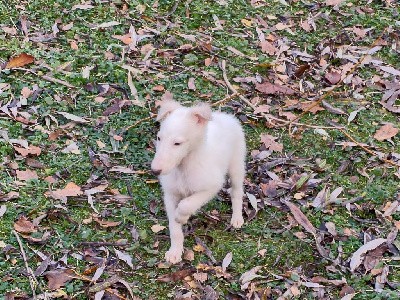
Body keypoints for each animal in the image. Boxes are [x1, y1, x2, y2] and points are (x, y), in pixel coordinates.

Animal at [152, 100, 245, 262]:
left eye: (177, 143)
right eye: (159, 138)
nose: (155, 170)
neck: (183, 168)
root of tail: (226, 117)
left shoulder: (212, 186)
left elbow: (187, 203)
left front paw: (181, 216)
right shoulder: (170, 195)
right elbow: (174, 228)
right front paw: (175, 251)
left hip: (236, 164)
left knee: (237, 191)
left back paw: (237, 217)